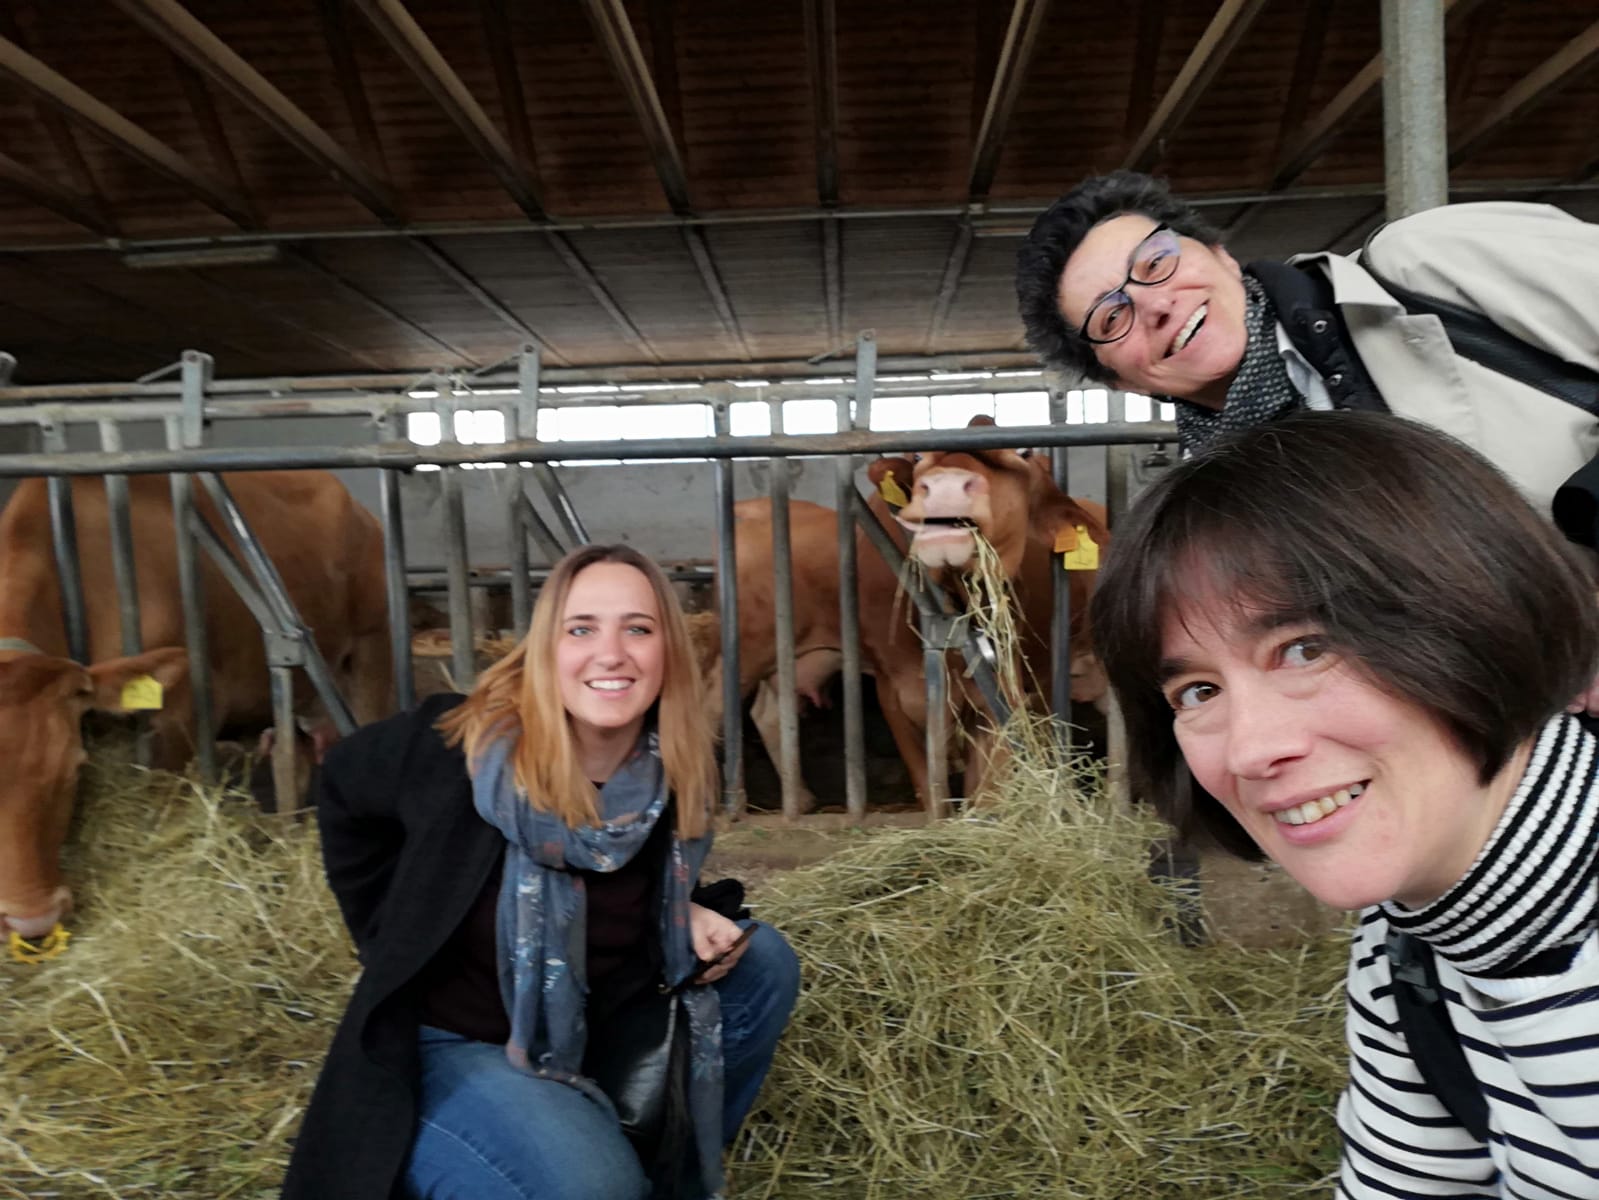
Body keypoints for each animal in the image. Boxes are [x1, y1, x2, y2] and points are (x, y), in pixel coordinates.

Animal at [0, 473, 390, 947]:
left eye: (73, 768)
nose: (32, 920)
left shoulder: (186, 708)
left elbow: (161, 797)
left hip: (371, 649)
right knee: (288, 759)